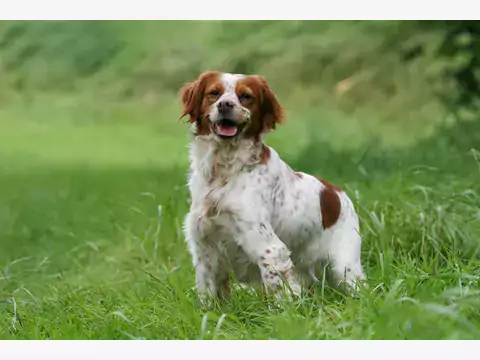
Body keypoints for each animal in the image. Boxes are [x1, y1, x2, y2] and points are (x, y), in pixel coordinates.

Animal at [178, 71, 366, 300]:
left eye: (246, 96)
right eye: (214, 93)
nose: (224, 105)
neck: (224, 172)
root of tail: (337, 192)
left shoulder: (271, 250)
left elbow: (281, 295)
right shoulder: (205, 251)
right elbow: (208, 297)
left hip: (345, 268)